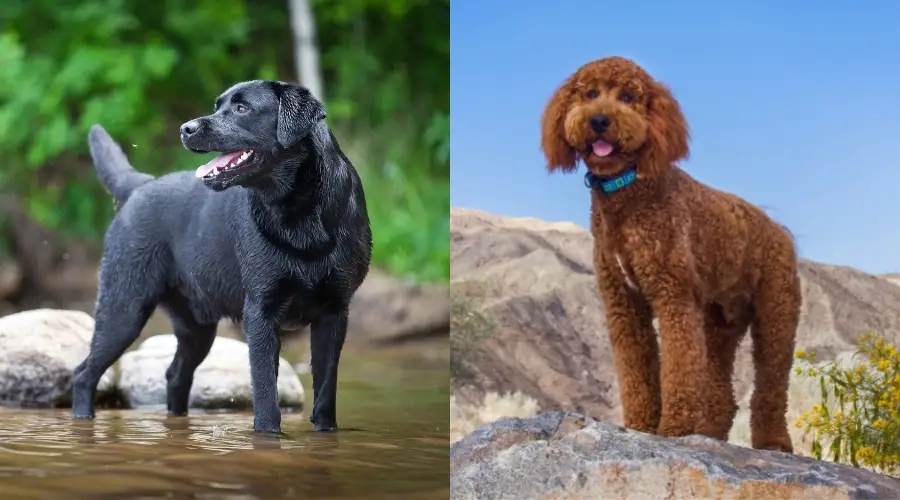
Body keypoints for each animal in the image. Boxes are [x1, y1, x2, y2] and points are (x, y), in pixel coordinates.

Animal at [69, 80, 372, 432]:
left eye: (242, 108)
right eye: (218, 106)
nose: (185, 128)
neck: (299, 213)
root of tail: (139, 186)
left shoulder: (334, 312)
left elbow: (324, 392)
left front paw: (325, 432)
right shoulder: (261, 313)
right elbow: (265, 393)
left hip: (195, 330)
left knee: (175, 376)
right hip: (124, 309)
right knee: (83, 374)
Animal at [540, 55, 800, 454]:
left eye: (628, 96)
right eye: (590, 93)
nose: (599, 120)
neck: (628, 192)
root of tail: (780, 230)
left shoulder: (672, 295)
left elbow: (678, 367)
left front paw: (674, 429)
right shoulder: (623, 303)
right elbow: (636, 370)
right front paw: (641, 426)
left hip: (776, 314)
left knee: (772, 385)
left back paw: (772, 442)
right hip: (719, 324)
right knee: (722, 391)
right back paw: (708, 432)